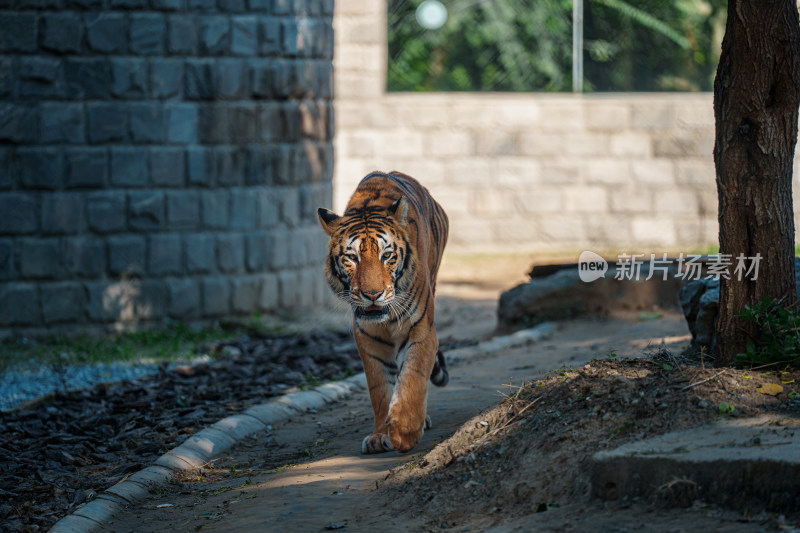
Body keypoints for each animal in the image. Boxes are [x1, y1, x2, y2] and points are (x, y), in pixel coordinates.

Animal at [322, 170, 454, 454]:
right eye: (352, 258)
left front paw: (403, 432)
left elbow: (413, 376)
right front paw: (379, 436)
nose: (373, 295)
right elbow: (380, 389)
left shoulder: (422, 330)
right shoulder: (368, 338)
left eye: (387, 255)